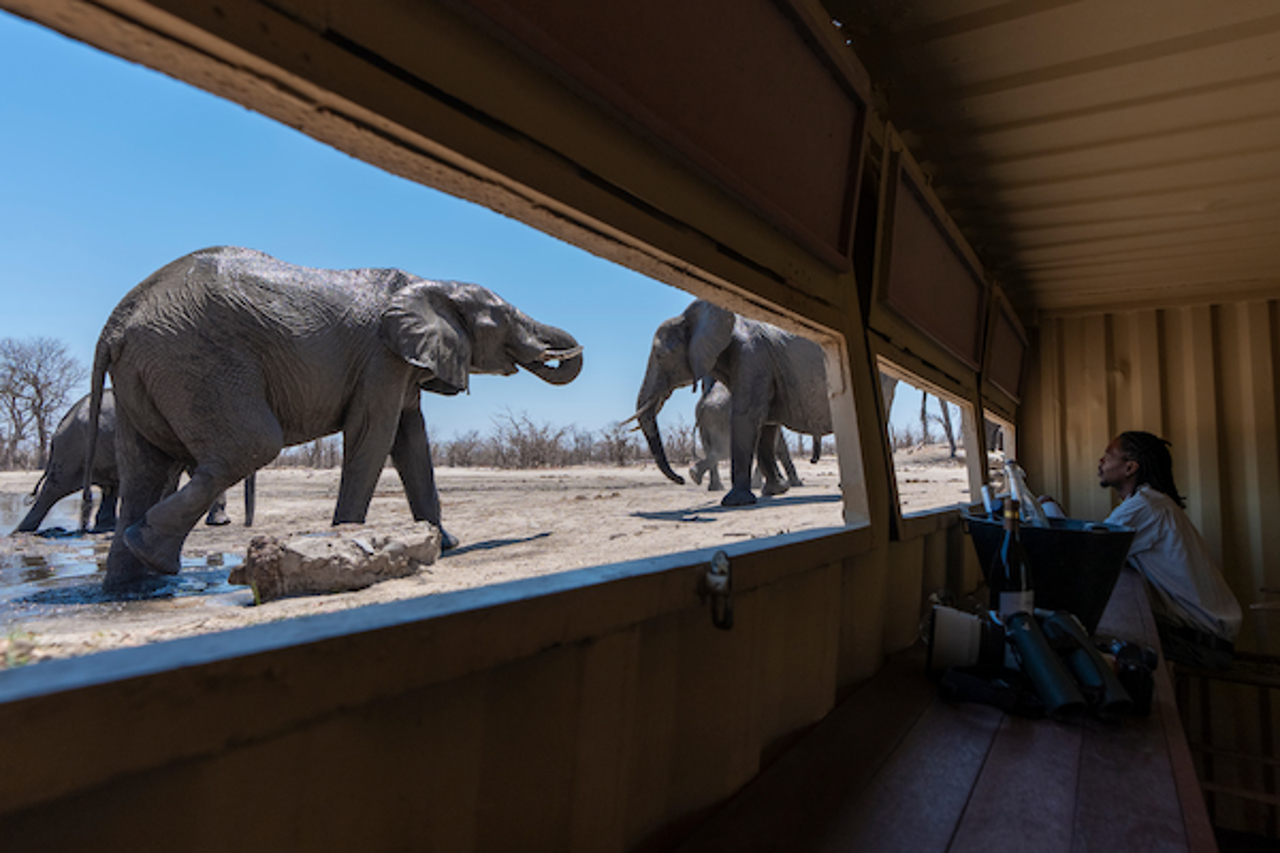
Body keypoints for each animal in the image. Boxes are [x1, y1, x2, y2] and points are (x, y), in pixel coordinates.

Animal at [14, 389, 254, 534]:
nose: (247, 525)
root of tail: (60, 424)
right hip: (71, 449)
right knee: (53, 488)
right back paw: (23, 531)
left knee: (109, 488)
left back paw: (106, 527)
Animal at [85, 246, 582, 589]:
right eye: (505, 318)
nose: (560, 350)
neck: (430, 283)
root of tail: (115, 324)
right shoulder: (382, 359)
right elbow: (374, 435)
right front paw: (345, 544)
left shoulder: (400, 365)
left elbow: (412, 443)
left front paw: (445, 544)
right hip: (197, 359)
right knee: (251, 446)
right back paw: (150, 556)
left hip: (147, 372)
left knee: (146, 472)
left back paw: (132, 588)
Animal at [633, 299, 832, 506]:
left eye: (661, 356)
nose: (680, 480)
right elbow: (762, 425)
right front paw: (770, 491)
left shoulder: (752, 359)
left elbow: (751, 419)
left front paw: (743, 499)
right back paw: (701, 479)